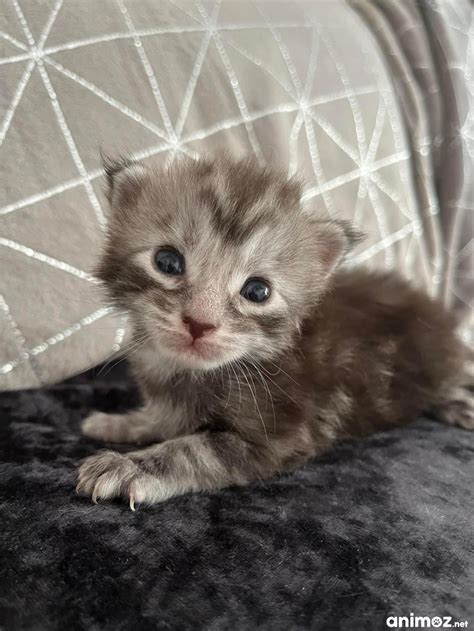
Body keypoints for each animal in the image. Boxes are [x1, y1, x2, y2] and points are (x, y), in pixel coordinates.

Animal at [76, 156, 472, 512]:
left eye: (257, 291)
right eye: (168, 262)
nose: (199, 323)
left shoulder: (279, 434)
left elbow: (193, 450)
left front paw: (130, 467)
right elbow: (162, 417)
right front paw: (123, 422)